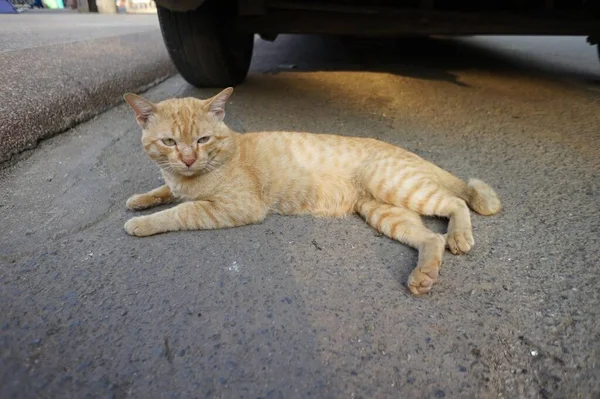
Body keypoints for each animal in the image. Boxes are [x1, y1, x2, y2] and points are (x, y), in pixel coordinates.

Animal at [123, 88, 502, 294]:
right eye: (169, 142)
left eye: (202, 139)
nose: (188, 158)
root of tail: (403, 149)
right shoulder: (176, 181)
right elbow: (164, 190)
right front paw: (140, 200)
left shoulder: (237, 206)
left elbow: (181, 210)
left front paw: (143, 223)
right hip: (385, 212)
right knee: (431, 238)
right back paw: (424, 276)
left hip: (397, 186)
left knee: (456, 202)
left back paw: (459, 236)